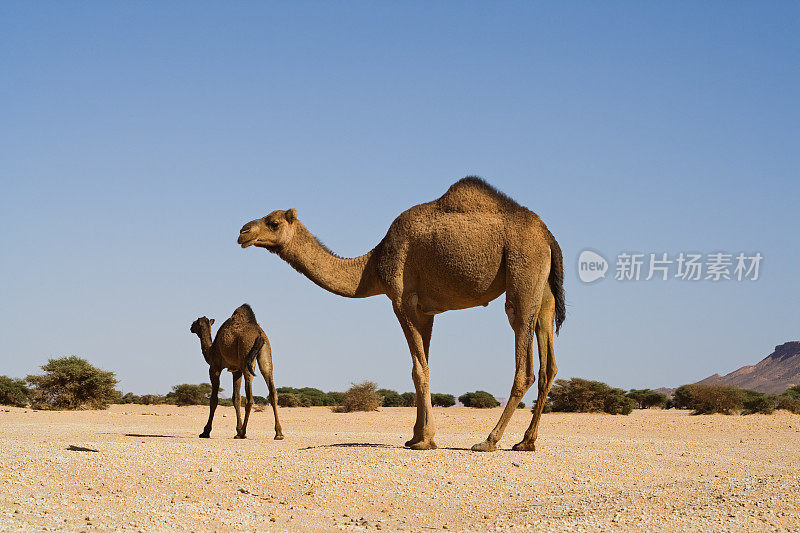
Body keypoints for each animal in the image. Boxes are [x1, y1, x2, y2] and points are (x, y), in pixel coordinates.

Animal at [191, 304, 284, 440]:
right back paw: (278, 433)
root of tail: (259, 334)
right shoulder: (236, 370)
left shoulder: (215, 368)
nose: (190, 327)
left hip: (246, 354)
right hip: (266, 354)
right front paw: (237, 429)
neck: (211, 350)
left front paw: (205, 432)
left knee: (250, 398)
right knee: (272, 391)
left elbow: (214, 399)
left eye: (195, 323)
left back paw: (243, 433)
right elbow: (236, 398)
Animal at [238, 177, 564, 450]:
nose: (243, 232)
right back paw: (526, 442)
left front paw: (425, 440)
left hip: (522, 272)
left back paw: (489, 440)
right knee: (548, 363)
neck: (371, 265)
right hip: (543, 292)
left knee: (524, 360)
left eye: (273, 222)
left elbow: (418, 369)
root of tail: (548, 236)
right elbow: (422, 367)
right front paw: (416, 436)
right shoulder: (427, 311)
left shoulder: (402, 300)